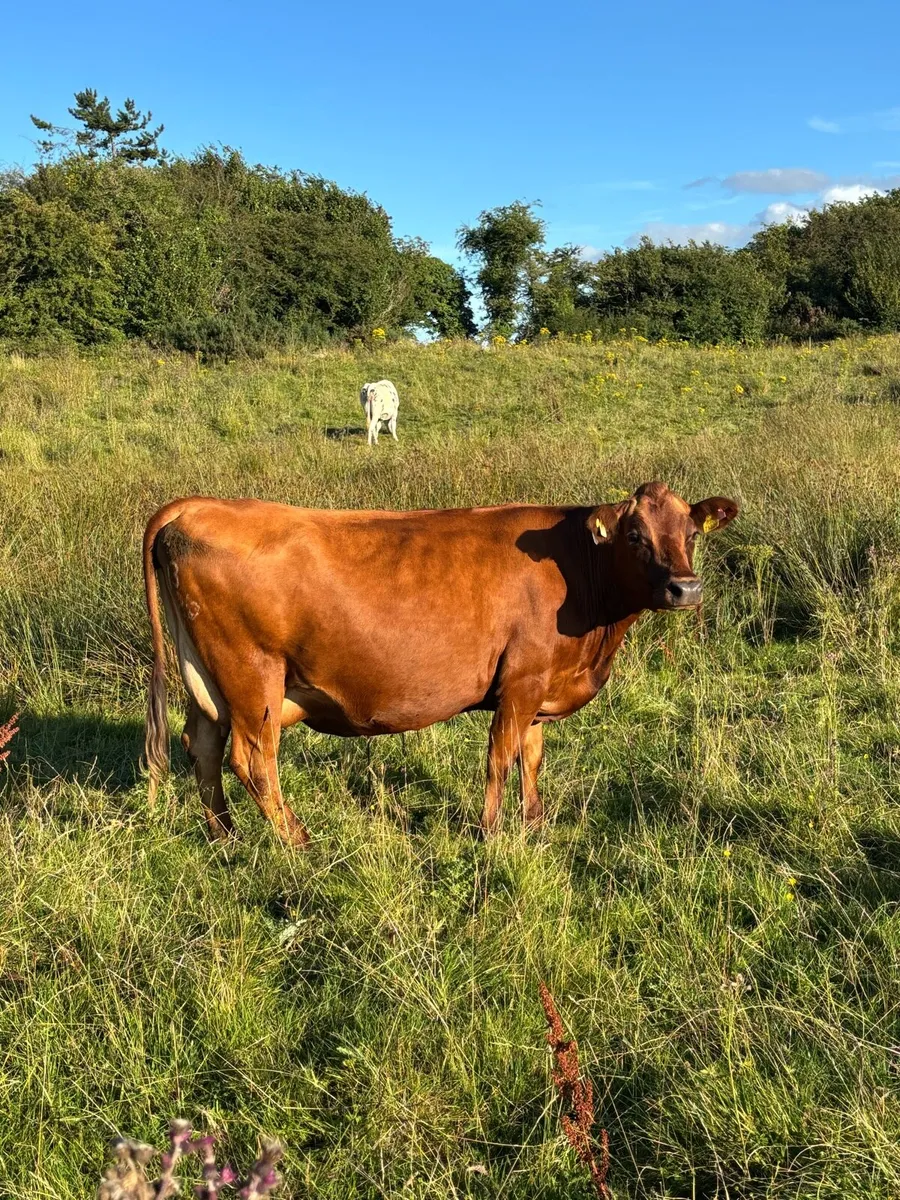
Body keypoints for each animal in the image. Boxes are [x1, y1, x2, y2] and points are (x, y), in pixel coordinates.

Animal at [143, 481, 738, 846]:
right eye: (635, 535)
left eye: (690, 534)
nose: (686, 588)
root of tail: (198, 505)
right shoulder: (521, 683)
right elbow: (501, 760)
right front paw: (491, 834)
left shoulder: (537, 686)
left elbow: (532, 758)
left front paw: (535, 825)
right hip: (253, 677)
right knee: (253, 761)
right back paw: (299, 842)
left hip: (209, 681)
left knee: (203, 746)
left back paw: (225, 837)